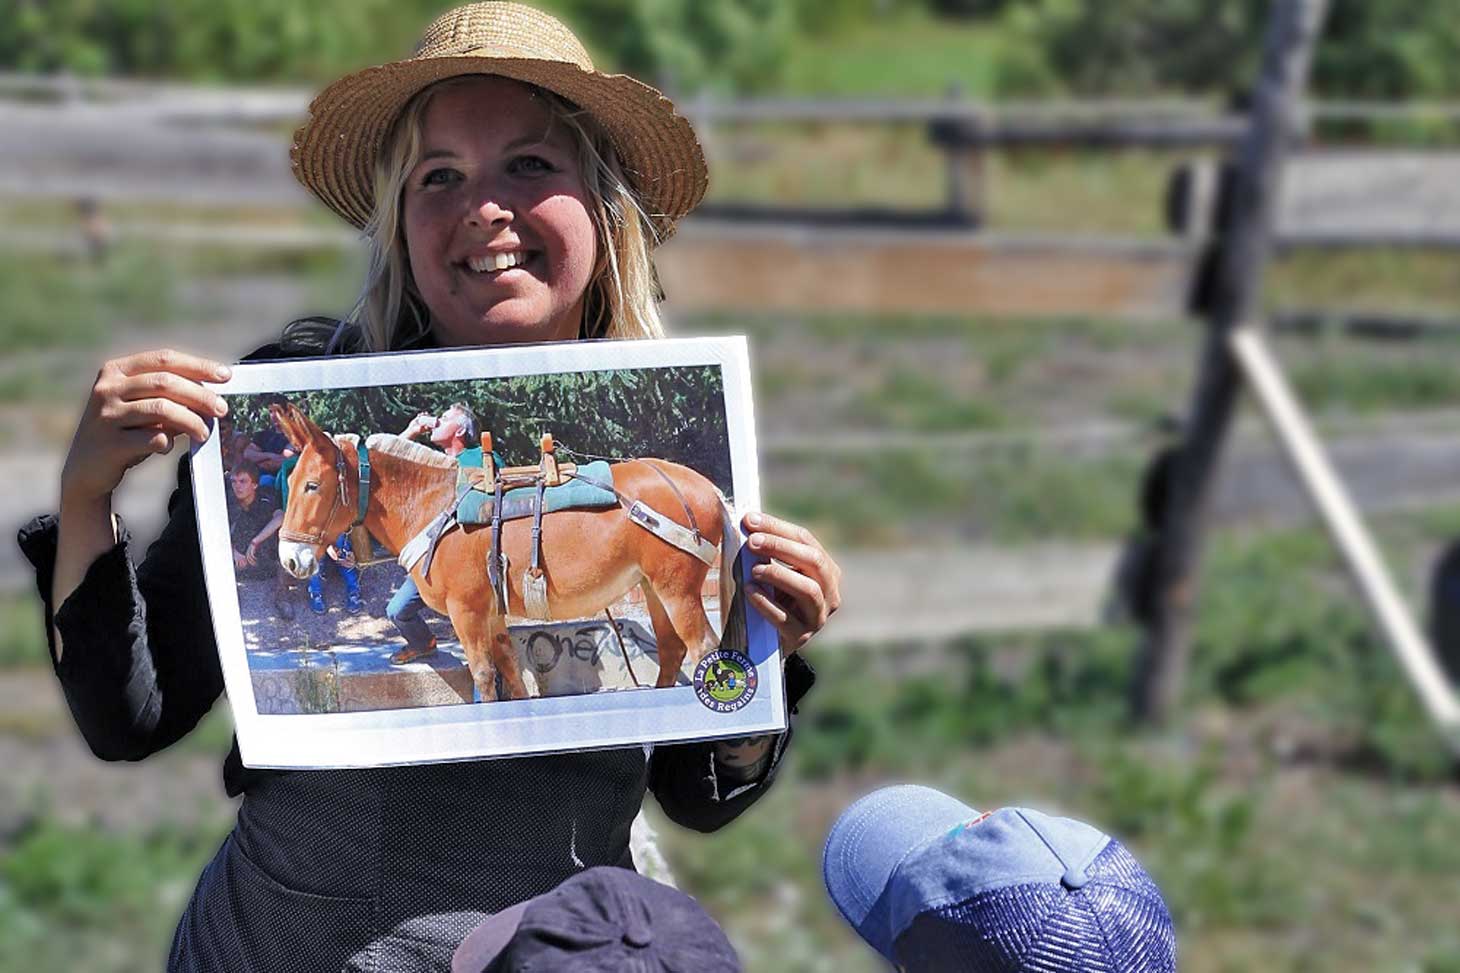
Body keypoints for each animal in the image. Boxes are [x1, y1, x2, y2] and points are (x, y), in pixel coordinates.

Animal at [268, 397, 741, 701]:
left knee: (702, 649)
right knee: (672, 650)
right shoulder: (491, 611)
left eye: (312, 486)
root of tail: (706, 488)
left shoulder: (466, 611)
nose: (290, 559)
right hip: (651, 586)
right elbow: (510, 671)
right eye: (291, 483)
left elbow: (482, 674)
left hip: (676, 589)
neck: (434, 504)